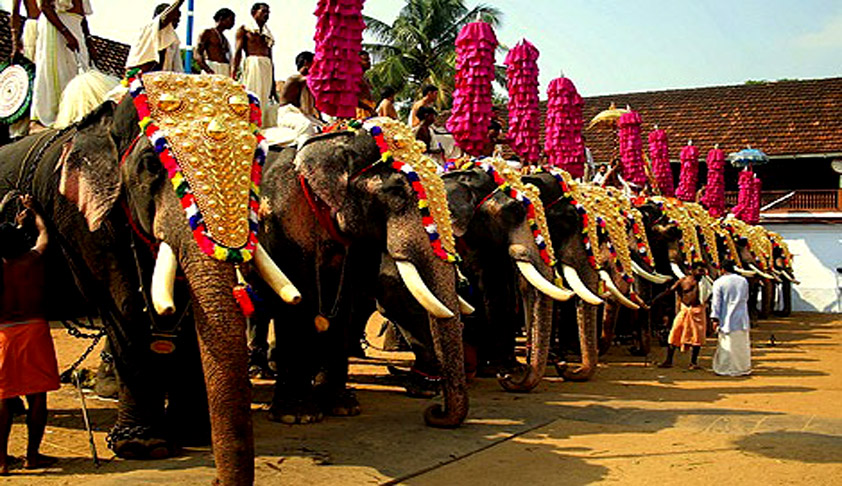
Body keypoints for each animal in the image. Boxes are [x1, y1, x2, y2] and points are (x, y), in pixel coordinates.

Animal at [256, 119, 466, 428]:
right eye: (398, 193)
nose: (434, 412)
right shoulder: (284, 214)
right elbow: (298, 296)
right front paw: (298, 415)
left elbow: (344, 300)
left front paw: (341, 407)